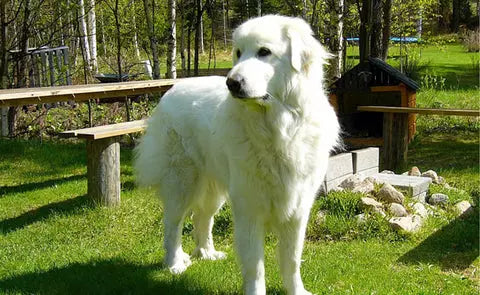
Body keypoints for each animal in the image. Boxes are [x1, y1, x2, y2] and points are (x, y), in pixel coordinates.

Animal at [133, 15, 340, 294]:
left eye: (264, 52)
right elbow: (255, 265)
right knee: (172, 225)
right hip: (182, 183)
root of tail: (172, 89)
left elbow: (292, 259)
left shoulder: (297, 208)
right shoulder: (249, 207)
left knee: (202, 218)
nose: (231, 83)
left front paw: (296, 290)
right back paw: (174, 263)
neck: (279, 128)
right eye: (239, 53)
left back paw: (207, 253)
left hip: (214, 190)